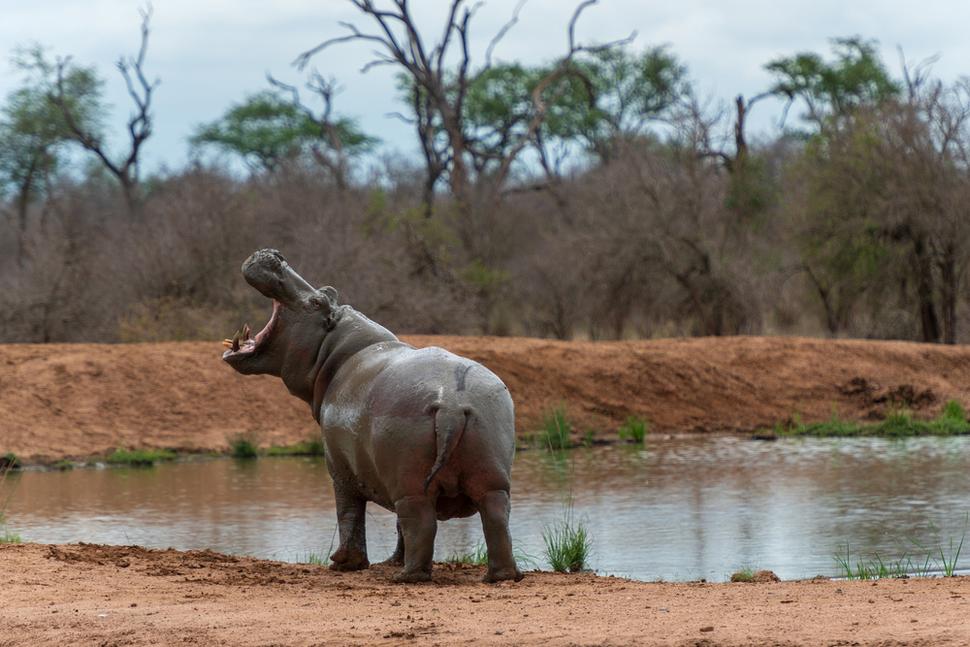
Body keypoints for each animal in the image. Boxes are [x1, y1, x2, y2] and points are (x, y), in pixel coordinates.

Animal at [221, 251, 520, 584]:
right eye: (326, 292)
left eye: (316, 301)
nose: (274, 256)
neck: (334, 350)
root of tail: (453, 403)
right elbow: (395, 526)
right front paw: (388, 561)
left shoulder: (339, 468)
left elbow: (349, 512)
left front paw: (343, 563)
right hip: (489, 475)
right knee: (494, 519)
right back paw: (499, 576)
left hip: (412, 485)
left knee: (420, 523)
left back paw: (406, 577)